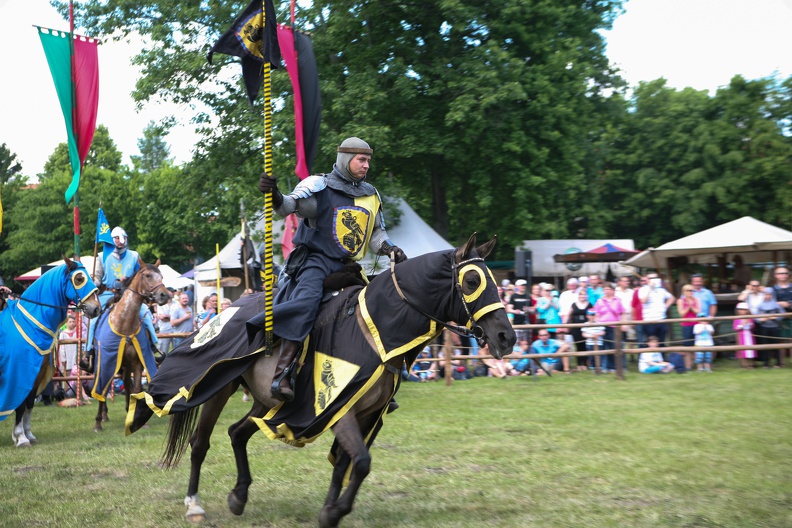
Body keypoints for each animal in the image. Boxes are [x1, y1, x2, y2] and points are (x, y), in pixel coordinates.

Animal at [0, 258, 102, 448]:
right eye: (79, 279)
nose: (96, 309)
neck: (29, 323)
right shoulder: (20, 375)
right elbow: (20, 405)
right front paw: (21, 438)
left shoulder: (36, 376)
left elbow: (29, 403)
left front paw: (28, 434)